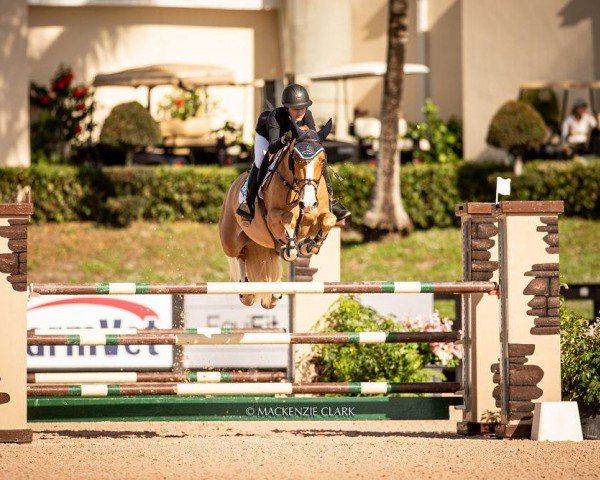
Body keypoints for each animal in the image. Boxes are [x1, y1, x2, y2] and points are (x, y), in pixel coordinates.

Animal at [218, 119, 338, 308]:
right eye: (295, 158)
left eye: (322, 160)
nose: (308, 203)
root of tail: (233, 187)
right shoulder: (273, 218)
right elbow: (288, 218)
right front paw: (292, 248)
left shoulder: (318, 216)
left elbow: (329, 219)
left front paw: (310, 245)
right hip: (230, 240)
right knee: (239, 255)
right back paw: (247, 292)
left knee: (265, 255)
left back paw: (274, 292)